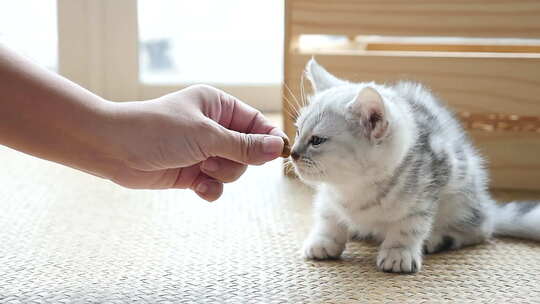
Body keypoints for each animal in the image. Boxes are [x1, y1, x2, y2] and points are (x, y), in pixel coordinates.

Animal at [292, 58, 540, 274]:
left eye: (317, 140)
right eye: (297, 131)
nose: (293, 153)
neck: (353, 188)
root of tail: (486, 203)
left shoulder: (428, 187)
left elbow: (409, 226)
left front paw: (398, 252)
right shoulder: (328, 196)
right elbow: (327, 217)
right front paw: (324, 241)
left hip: (461, 199)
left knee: (480, 229)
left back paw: (435, 239)